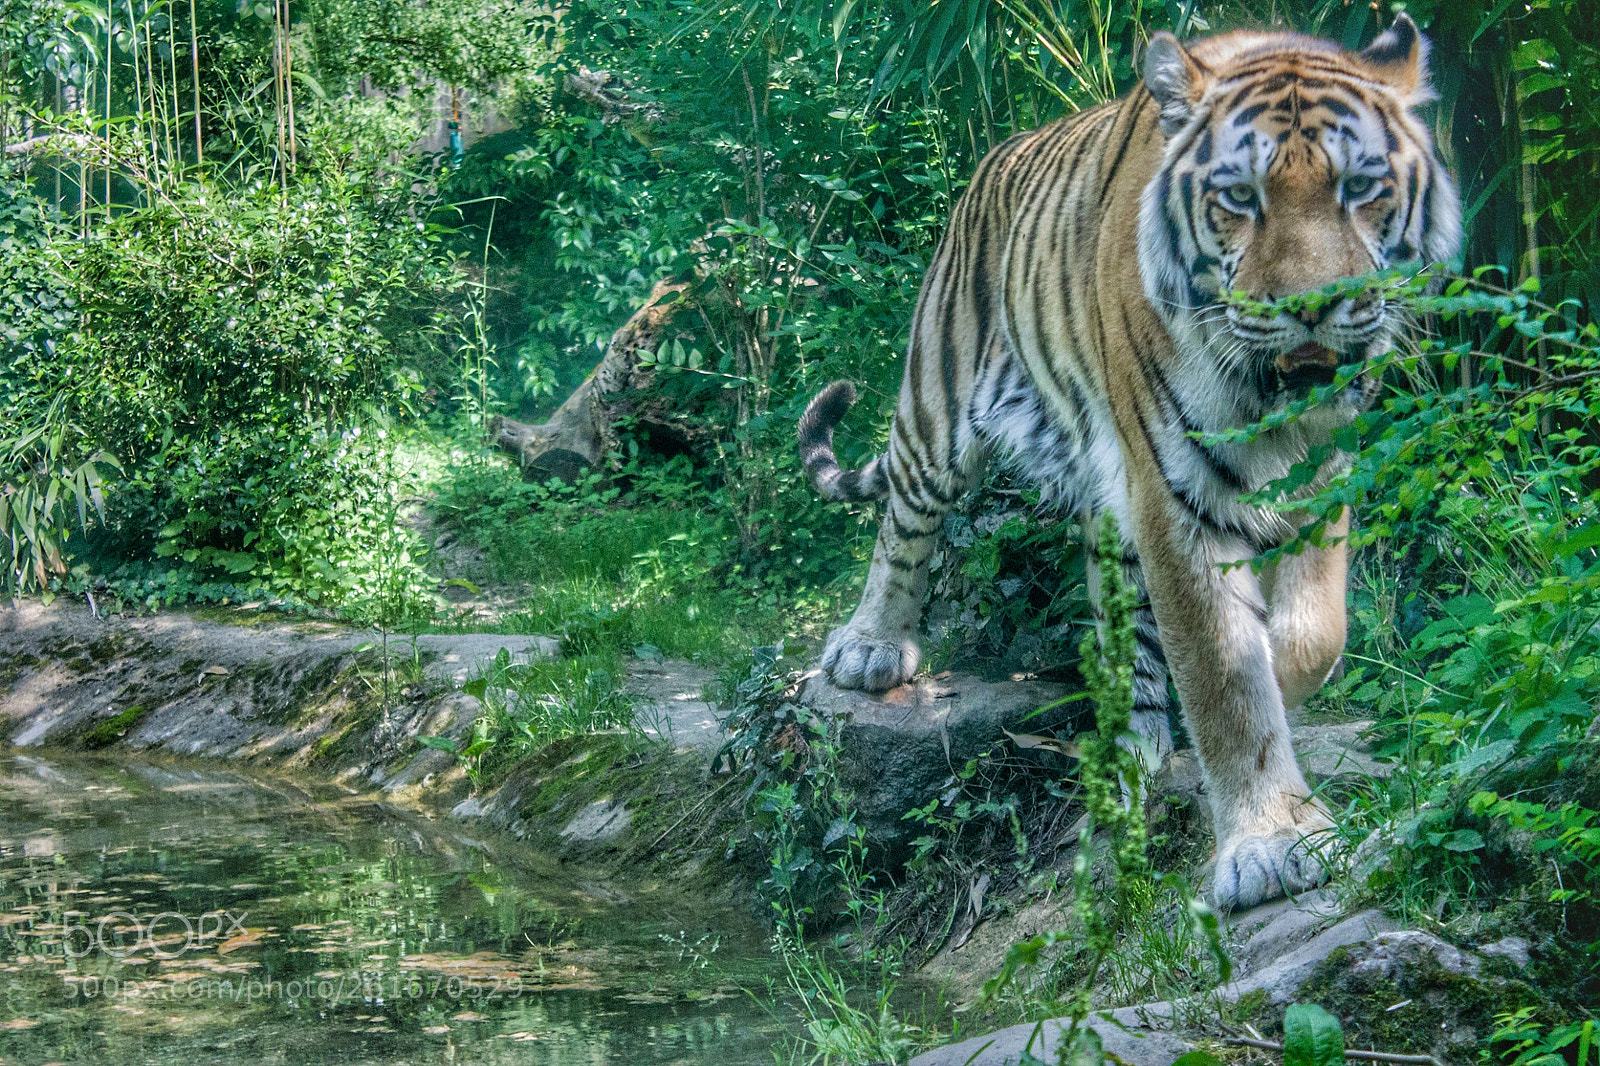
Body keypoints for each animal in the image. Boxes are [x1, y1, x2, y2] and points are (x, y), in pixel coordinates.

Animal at [796, 15, 1461, 911]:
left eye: (1360, 187)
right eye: (1239, 198)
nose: (1310, 309)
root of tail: (993, 161)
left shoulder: (1323, 469)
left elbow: (1314, 631)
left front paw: (1283, 682)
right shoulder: (1173, 496)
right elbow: (1222, 672)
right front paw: (1271, 842)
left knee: (1123, 625)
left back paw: (1137, 745)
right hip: (940, 401)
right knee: (904, 521)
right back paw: (870, 649)